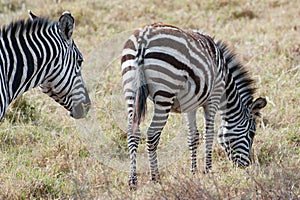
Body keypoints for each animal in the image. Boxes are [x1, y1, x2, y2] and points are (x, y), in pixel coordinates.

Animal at [120, 22, 266, 188]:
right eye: (252, 133)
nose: (246, 166)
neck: (226, 84)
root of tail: (144, 38)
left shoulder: (190, 105)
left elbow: (193, 137)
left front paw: (194, 171)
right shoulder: (213, 98)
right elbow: (208, 134)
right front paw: (207, 169)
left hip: (131, 90)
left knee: (133, 132)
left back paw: (133, 180)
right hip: (165, 93)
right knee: (152, 134)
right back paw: (155, 177)